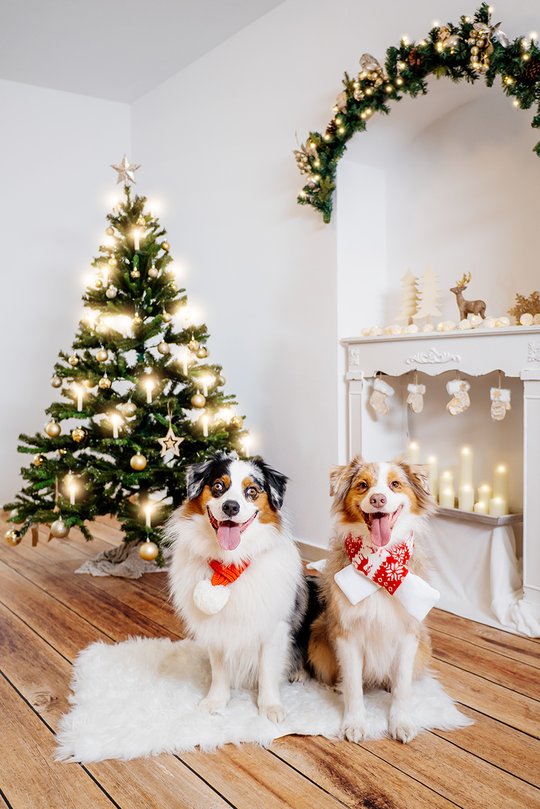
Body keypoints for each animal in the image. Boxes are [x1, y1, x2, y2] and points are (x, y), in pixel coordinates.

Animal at [167, 452, 306, 724]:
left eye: (251, 491)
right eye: (218, 486)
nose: (231, 507)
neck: (232, 561)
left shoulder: (273, 626)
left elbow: (267, 671)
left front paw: (270, 707)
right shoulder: (218, 626)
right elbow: (220, 670)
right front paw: (216, 701)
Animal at [306, 458, 436, 740]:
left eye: (395, 484)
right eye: (363, 485)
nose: (377, 499)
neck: (380, 565)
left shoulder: (409, 633)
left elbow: (402, 685)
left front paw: (401, 722)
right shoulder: (347, 634)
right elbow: (354, 684)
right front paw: (355, 723)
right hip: (319, 636)